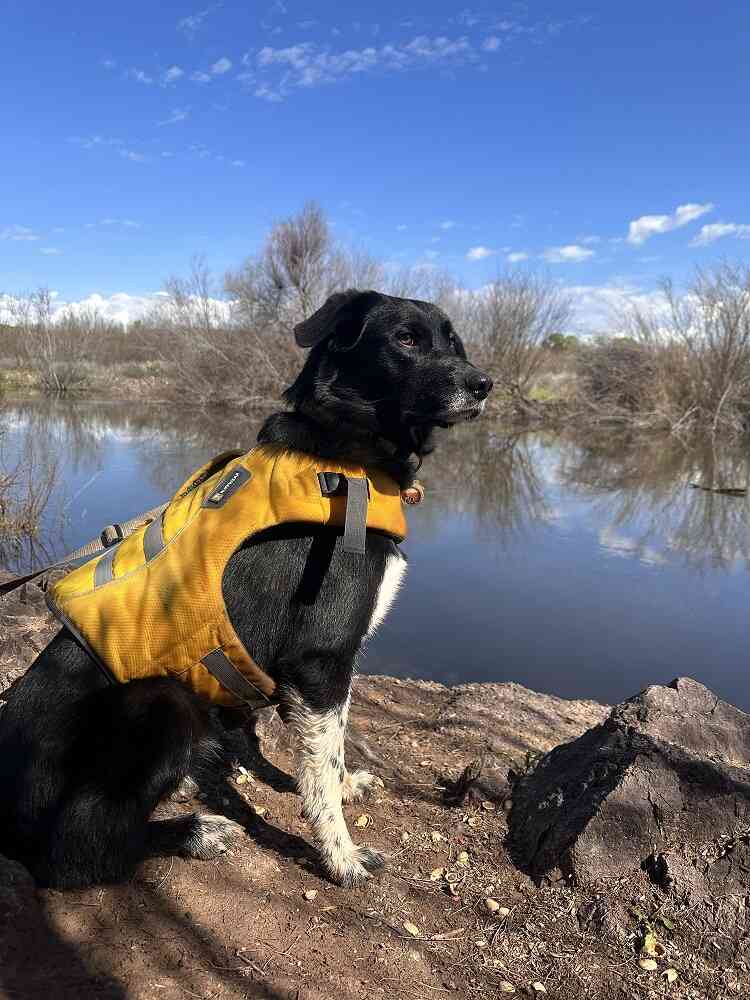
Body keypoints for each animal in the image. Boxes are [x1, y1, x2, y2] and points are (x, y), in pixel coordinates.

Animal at [0, 292, 494, 892]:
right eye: (405, 338)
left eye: (452, 339)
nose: (484, 384)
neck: (344, 455)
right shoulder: (319, 658)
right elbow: (321, 769)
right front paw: (341, 856)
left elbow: (330, 752)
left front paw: (346, 787)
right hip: (160, 702)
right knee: (79, 852)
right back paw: (195, 831)